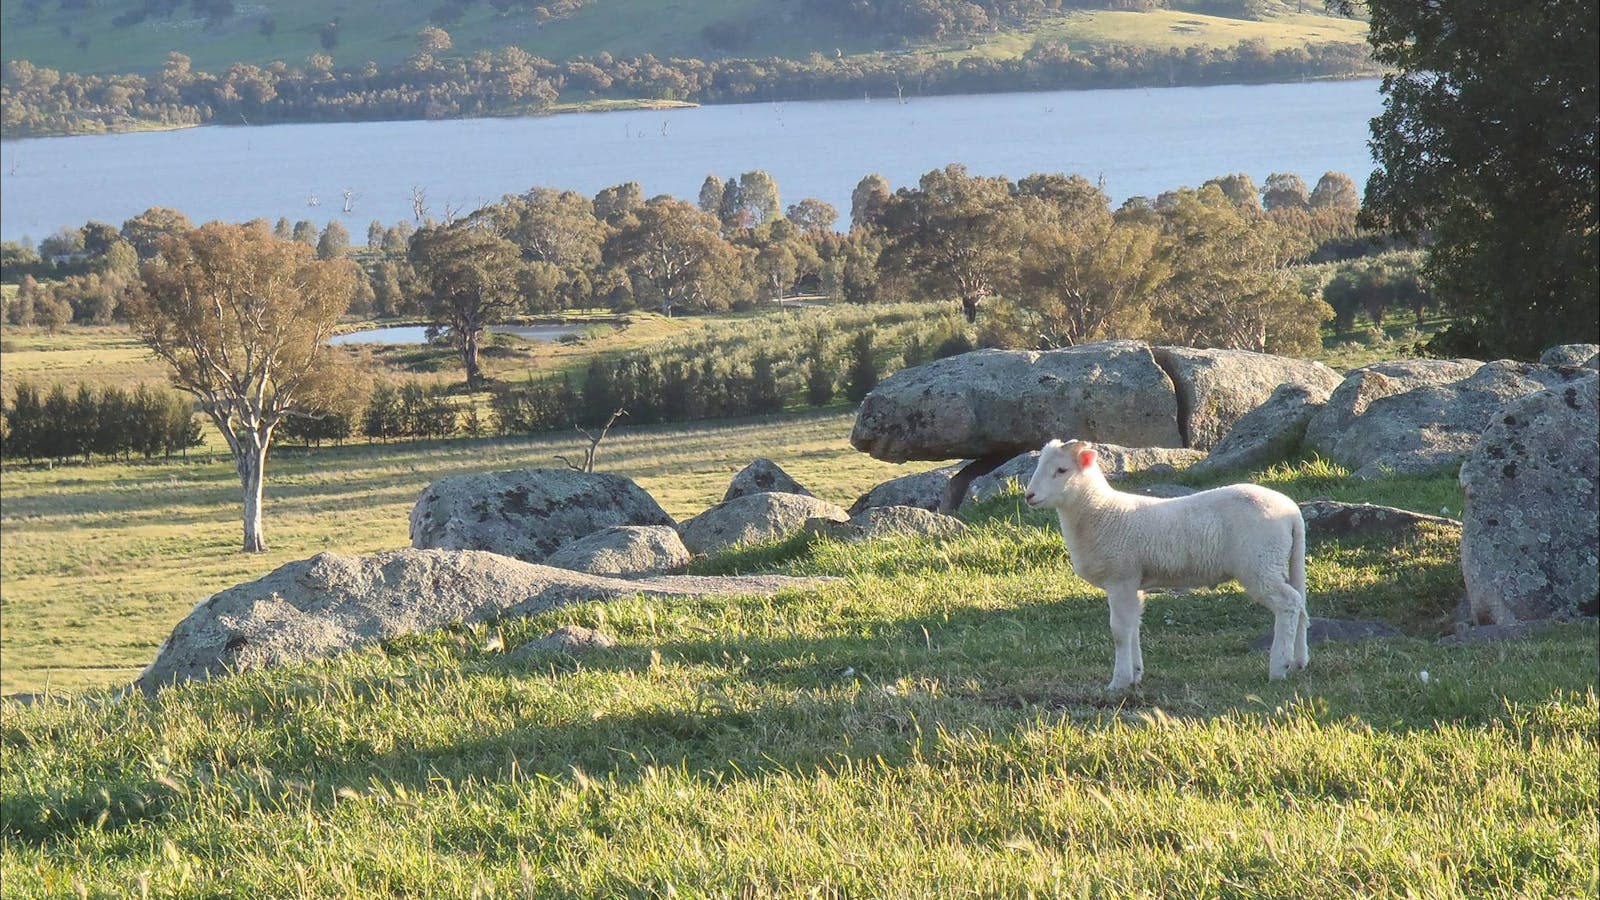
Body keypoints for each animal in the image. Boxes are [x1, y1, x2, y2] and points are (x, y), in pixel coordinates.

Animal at [1023, 438, 1308, 690]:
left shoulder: (1121, 578)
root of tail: (1292, 511)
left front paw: (1118, 682)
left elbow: (1119, 630)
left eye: (1061, 470)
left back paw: (1279, 667)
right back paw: (1299, 662)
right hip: (1278, 562)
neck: (1101, 512)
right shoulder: (1134, 582)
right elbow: (1134, 625)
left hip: (1260, 563)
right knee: (1301, 605)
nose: (1029, 496)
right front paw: (1135, 674)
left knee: (1288, 603)